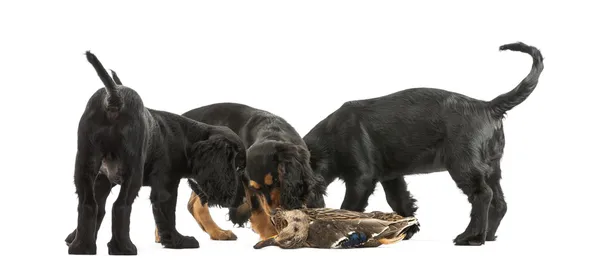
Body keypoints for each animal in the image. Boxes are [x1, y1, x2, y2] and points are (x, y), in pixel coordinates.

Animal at [64, 51, 245, 255]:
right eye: (238, 168)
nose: (242, 198)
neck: (187, 140)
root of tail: (115, 97)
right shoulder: (166, 187)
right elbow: (167, 217)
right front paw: (178, 241)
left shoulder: (103, 180)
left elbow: (96, 208)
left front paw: (74, 239)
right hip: (132, 172)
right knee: (120, 206)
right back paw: (124, 248)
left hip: (85, 166)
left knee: (88, 204)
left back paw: (81, 248)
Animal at [152, 102, 326, 242]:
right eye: (256, 188)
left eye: (277, 181)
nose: (274, 212)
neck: (272, 131)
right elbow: (257, 208)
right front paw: (270, 234)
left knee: (194, 205)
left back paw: (216, 233)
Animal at [304, 41, 544, 245]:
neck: (331, 138)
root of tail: (488, 106)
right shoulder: (390, 177)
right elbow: (401, 201)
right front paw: (407, 229)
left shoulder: (361, 179)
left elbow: (350, 207)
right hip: (492, 167)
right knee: (499, 202)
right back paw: (489, 235)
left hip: (464, 166)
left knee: (482, 195)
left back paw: (472, 237)